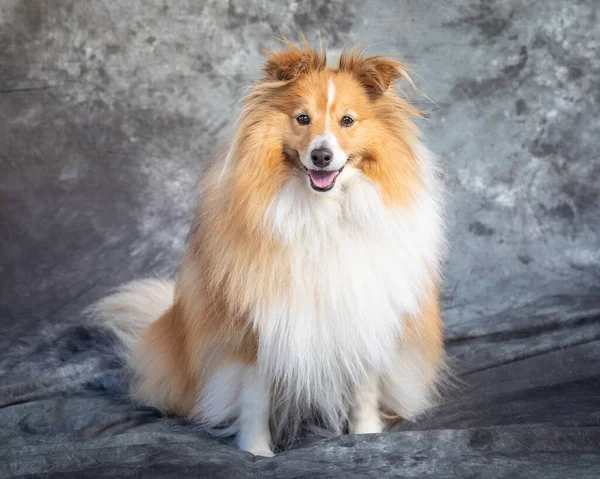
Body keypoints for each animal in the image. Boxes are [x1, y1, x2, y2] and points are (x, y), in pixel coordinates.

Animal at [92, 41, 446, 458]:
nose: (321, 156)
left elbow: (364, 390)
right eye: (303, 118)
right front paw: (256, 452)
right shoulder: (255, 331)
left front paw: (366, 437)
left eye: (347, 120)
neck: (321, 215)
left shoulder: (362, 315)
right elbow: (254, 399)